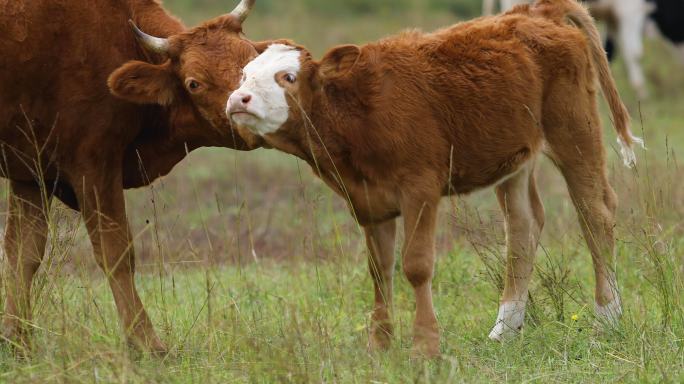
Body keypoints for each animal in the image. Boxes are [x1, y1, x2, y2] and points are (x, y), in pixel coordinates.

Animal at [0, 0, 264, 354]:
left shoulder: (31, 170)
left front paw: (17, 341)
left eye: (252, 63)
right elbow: (116, 252)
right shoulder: (94, 164)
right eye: (194, 83)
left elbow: (23, 253)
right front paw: (146, 341)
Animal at [227, 0, 644, 356]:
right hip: (516, 154)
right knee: (524, 226)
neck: (357, 114)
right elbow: (380, 270)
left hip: (574, 129)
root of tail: (536, 11)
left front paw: (425, 346)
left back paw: (606, 319)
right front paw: (380, 345)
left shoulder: (420, 189)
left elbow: (416, 265)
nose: (238, 99)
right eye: (244, 74)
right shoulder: (369, 202)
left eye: (288, 76)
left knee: (595, 213)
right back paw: (504, 329)